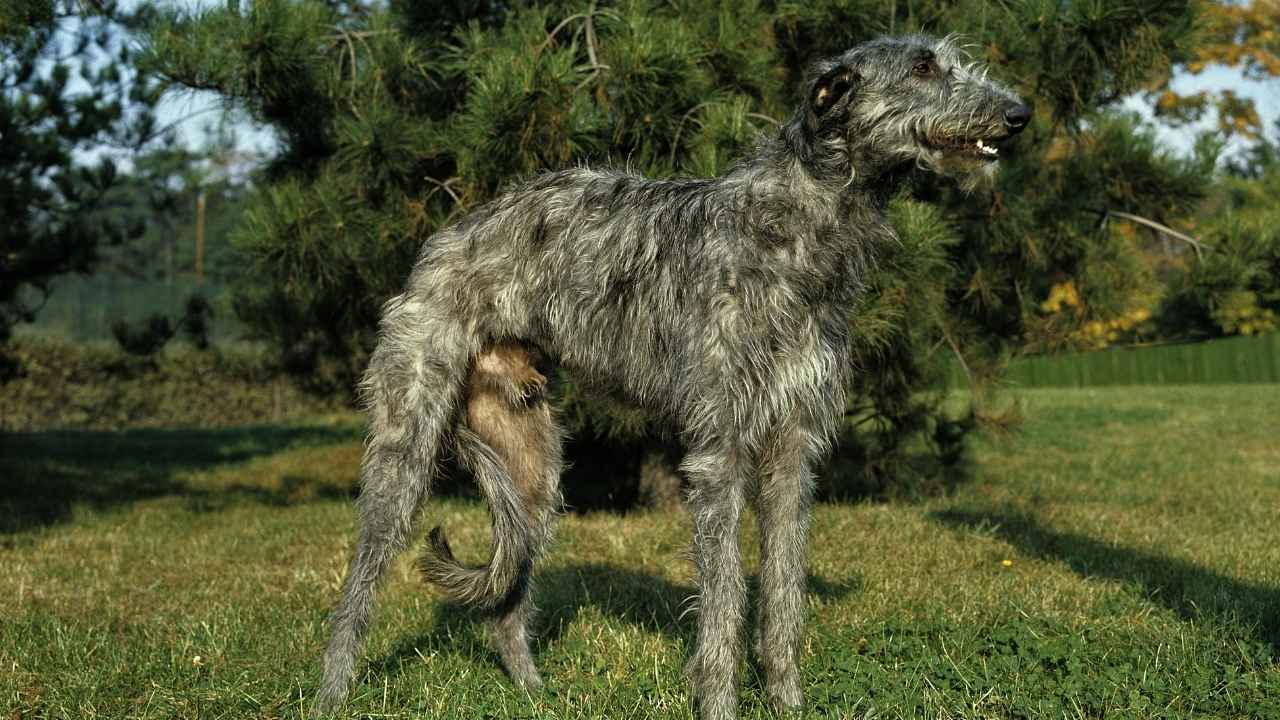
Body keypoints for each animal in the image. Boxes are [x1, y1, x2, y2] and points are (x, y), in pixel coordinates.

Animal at [317, 33, 1029, 717]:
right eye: (923, 68)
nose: (1019, 114)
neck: (799, 227)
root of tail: (445, 239)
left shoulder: (794, 446)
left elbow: (784, 589)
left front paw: (789, 701)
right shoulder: (719, 449)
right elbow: (722, 597)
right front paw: (718, 703)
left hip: (532, 466)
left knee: (509, 590)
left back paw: (533, 692)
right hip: (407, 442)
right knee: (361, 582)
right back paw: (331, 693)